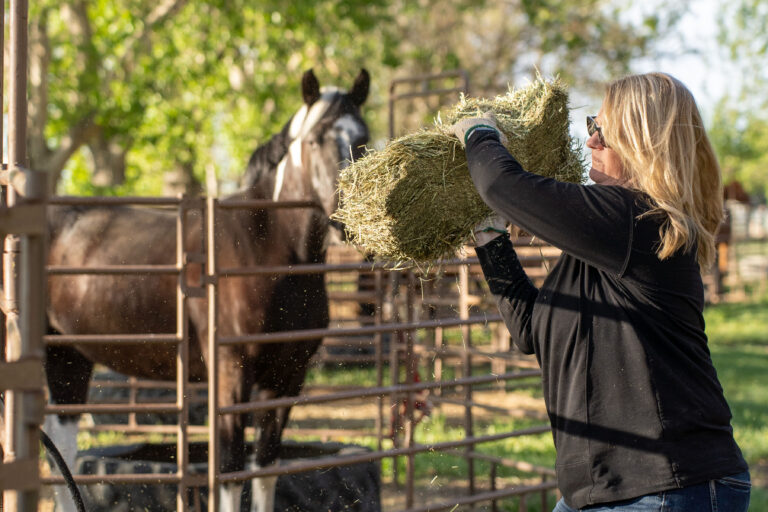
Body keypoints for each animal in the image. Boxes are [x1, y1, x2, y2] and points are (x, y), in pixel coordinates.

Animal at [44, 68, 370, 512]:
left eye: (362, 137)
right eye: (315, 140)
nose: (345, 220)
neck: (267, 249)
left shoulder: (287, 378)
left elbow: (265, 468)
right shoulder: (231, 377)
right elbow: (230, 473)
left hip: (69, 356)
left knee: (61, 446)